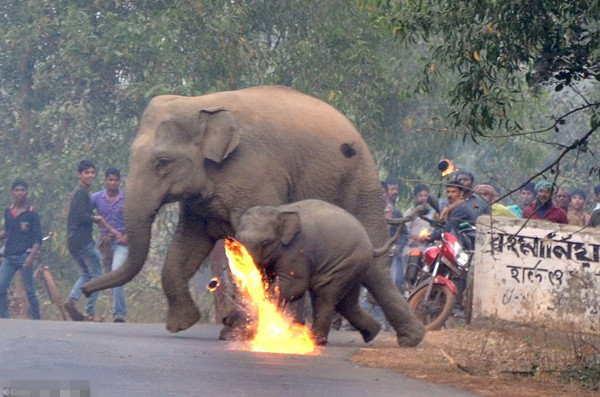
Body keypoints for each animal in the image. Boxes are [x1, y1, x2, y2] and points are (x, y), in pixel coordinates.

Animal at [233, 198, 422, 344]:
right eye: (237, 241)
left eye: (265, 243)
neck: (279, 211)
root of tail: (369, 243)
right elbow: (267, 280)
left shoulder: (297, 251)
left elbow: (295, 285)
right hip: (353, 265)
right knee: (347, 302)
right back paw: (374, 334)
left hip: (347, 262)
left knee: (327, 292)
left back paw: (317, 340)